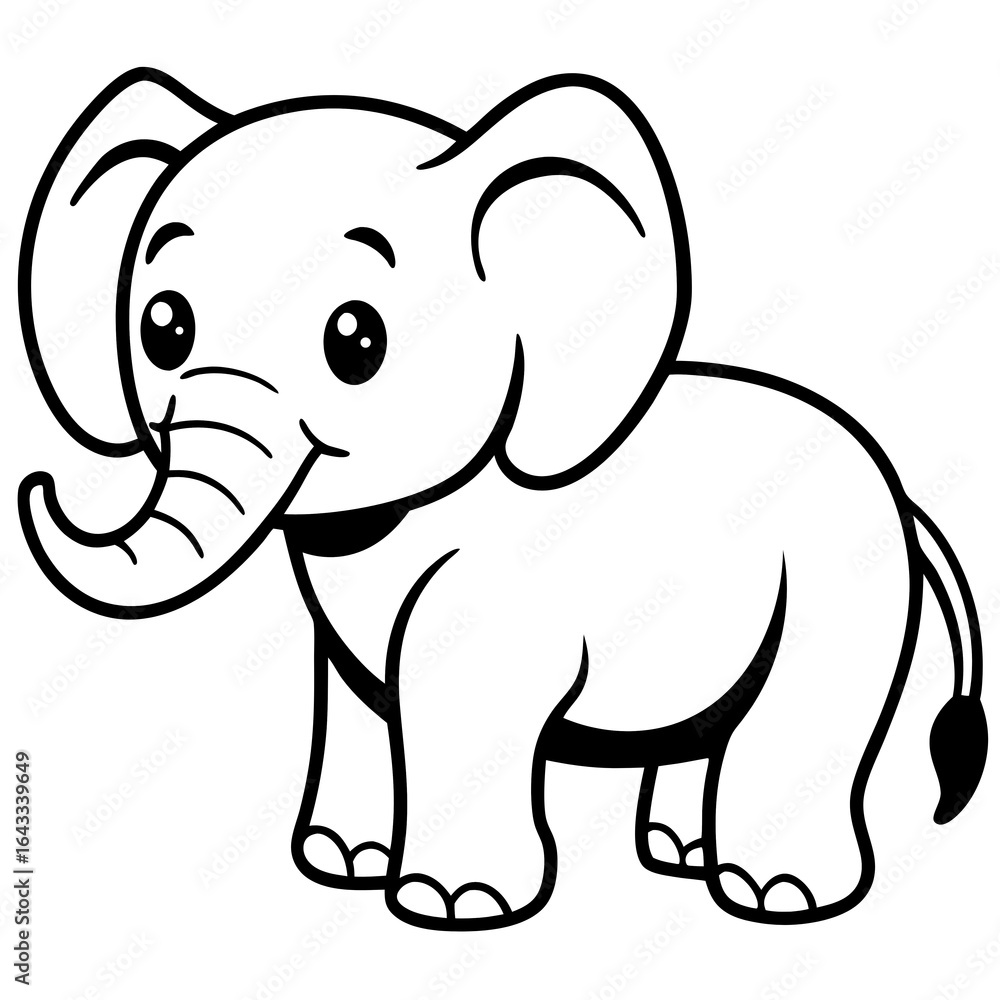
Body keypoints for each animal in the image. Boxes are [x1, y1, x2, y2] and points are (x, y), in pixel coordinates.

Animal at [19, 67, 987, 931]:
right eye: (163, 327)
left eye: (356, 341)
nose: (38, 484)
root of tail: (899, 490)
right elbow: (357, 702)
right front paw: (340, 864)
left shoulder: (499, 601)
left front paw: (452, 908)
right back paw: (679, 856)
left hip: (842, 587)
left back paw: (775, 896)